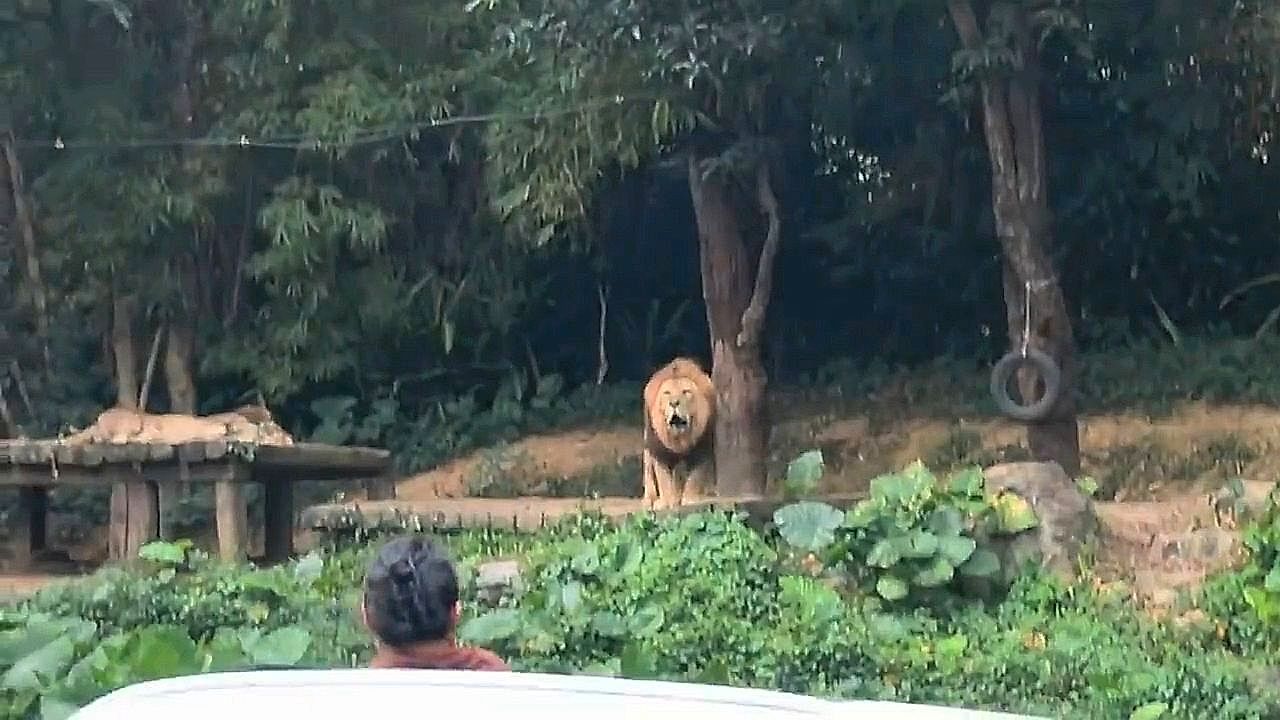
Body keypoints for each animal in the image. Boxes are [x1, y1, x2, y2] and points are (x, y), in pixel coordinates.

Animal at [642, 356, 715, 509]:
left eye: (686, 392)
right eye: (667, 393)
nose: (674, 403)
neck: (678, 439)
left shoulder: (703, 447)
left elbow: (695, 476)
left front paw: (690, 499)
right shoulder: (659, 451)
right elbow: (663, 478)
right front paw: (665, 502)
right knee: (649, 472)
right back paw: (650, 500)